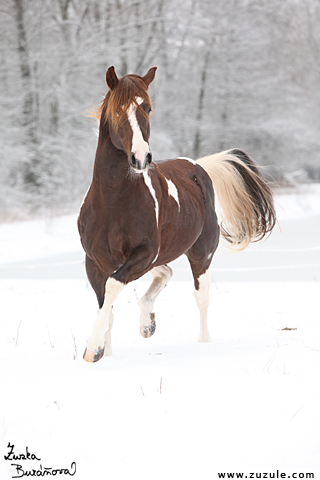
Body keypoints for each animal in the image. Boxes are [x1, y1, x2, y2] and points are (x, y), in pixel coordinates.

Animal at [79, 65, 276, 362]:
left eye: (147, 108)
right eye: (117, 110)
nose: (141, 158)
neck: (112, 203)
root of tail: (198, 167)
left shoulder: (144, 252)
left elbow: (113, 288)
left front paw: (92, 348)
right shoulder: (95, 262)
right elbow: (107, 305)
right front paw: (103, 350)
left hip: (201, 254)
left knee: (201, 298)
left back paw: (202, 342)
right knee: (165, 272)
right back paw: (147, 324)